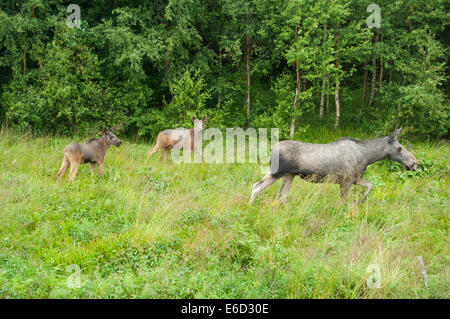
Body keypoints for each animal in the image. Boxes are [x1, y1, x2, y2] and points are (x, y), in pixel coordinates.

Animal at [250, 129, 418, 206]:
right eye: (400, 148)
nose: (415, 164)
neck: (367, 157)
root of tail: (271, 148)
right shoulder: (346, 181)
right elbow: (344, 201)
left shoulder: (356, 179)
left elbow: (370, 186)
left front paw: (360, 201)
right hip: (277, 171)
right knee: (256, 186)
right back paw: (251, 207)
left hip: (290, 174)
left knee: (282, 194)